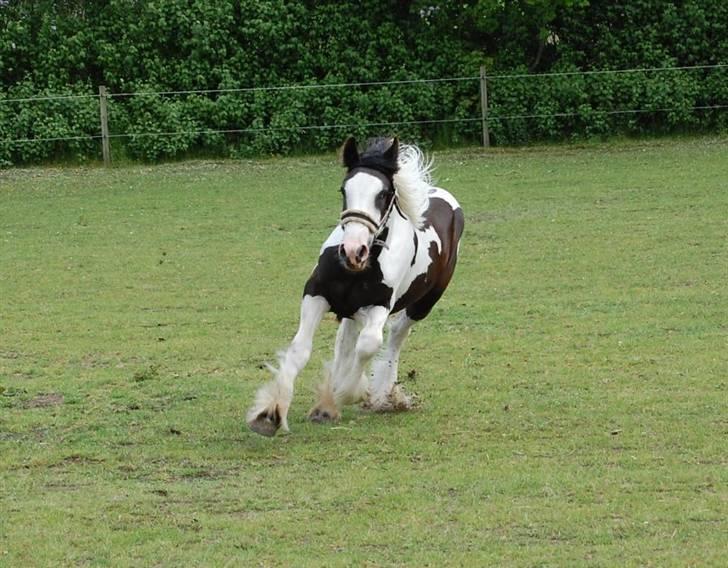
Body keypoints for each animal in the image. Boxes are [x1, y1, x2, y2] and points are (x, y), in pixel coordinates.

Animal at [247, 135, 464, 438]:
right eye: (344, 189)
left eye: (383, 194)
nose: (353, 251)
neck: (359, 269)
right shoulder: (315, 295)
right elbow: (301, 349)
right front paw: (270, 414)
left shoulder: (379, 306)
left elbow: (369, 345)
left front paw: (340, 397)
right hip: (351, 309)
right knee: (347, 341)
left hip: (424, 302)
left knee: (396, 335)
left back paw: (384, 392)